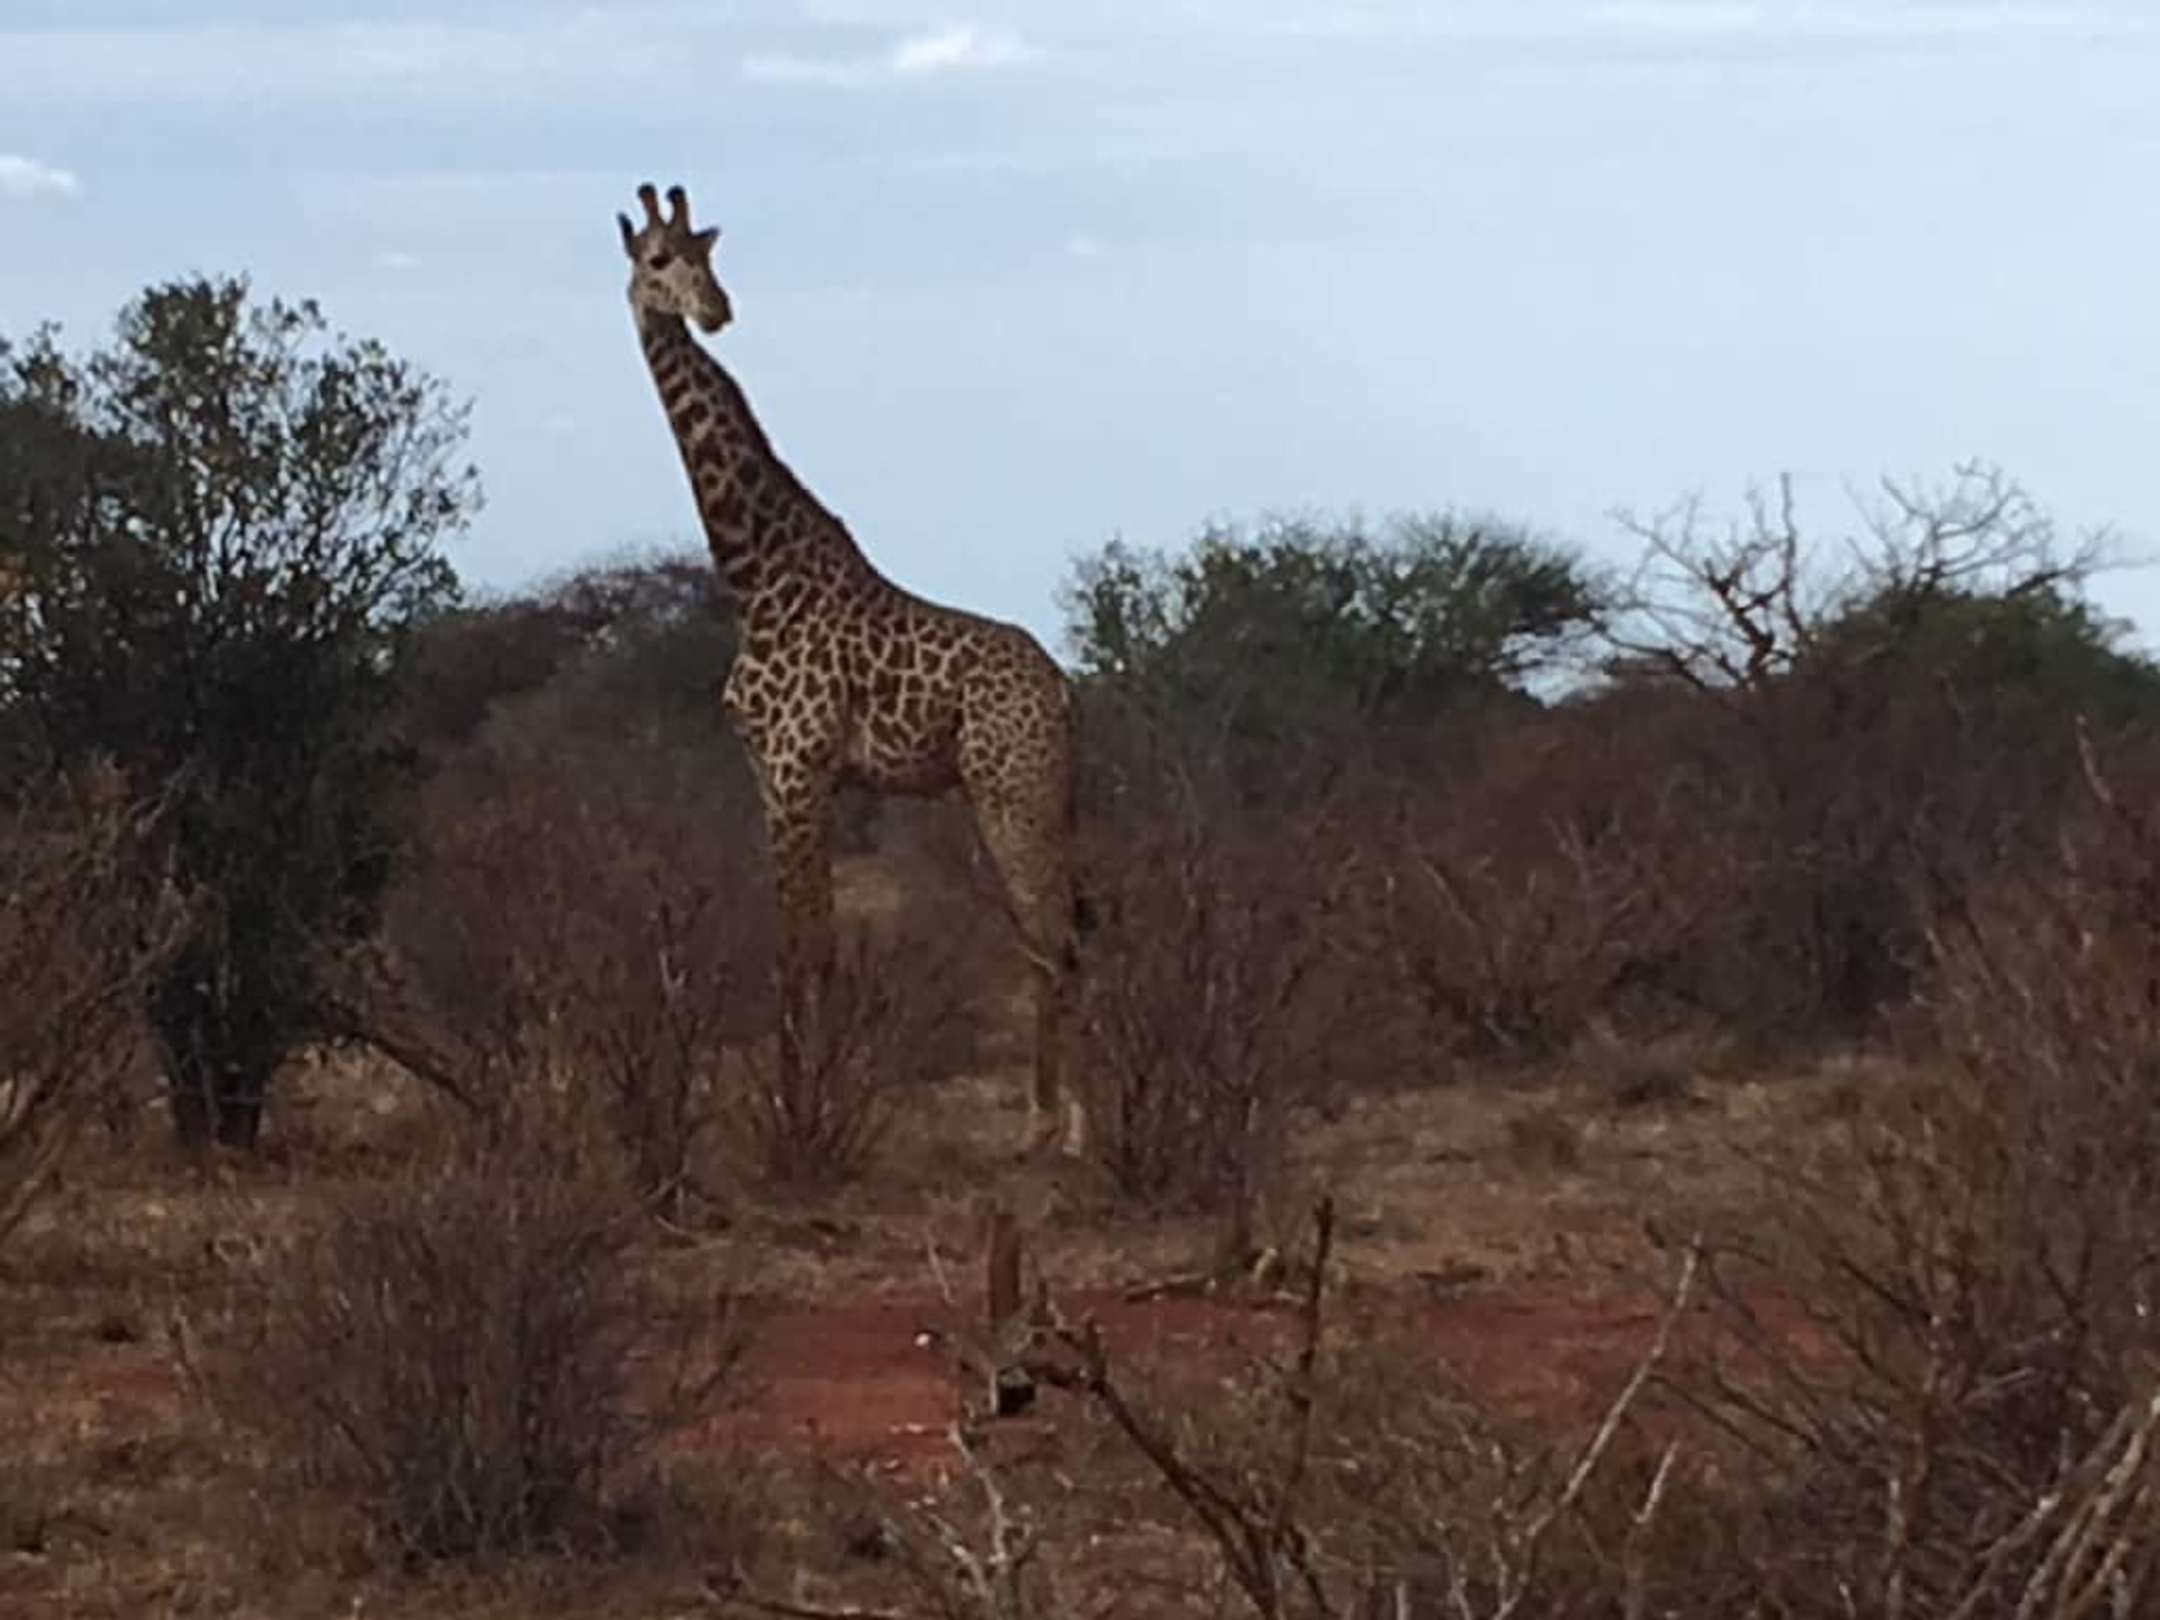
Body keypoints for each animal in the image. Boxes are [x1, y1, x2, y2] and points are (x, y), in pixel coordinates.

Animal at [616, 182, 1087, 1154]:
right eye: (661, 261)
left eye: (705, 257)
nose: (716, 311)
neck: (753, 572)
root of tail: (1064, 691)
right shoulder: (774, 773)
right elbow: (797, 946)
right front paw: (801, 1106)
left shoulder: (798, 768)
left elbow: (813, 950)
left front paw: (806, 1121)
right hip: (1034, 797)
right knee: (1057, 937)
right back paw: (1055, 1119)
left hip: (1013, 793)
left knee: (1053, 938)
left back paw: (1064, 1128)